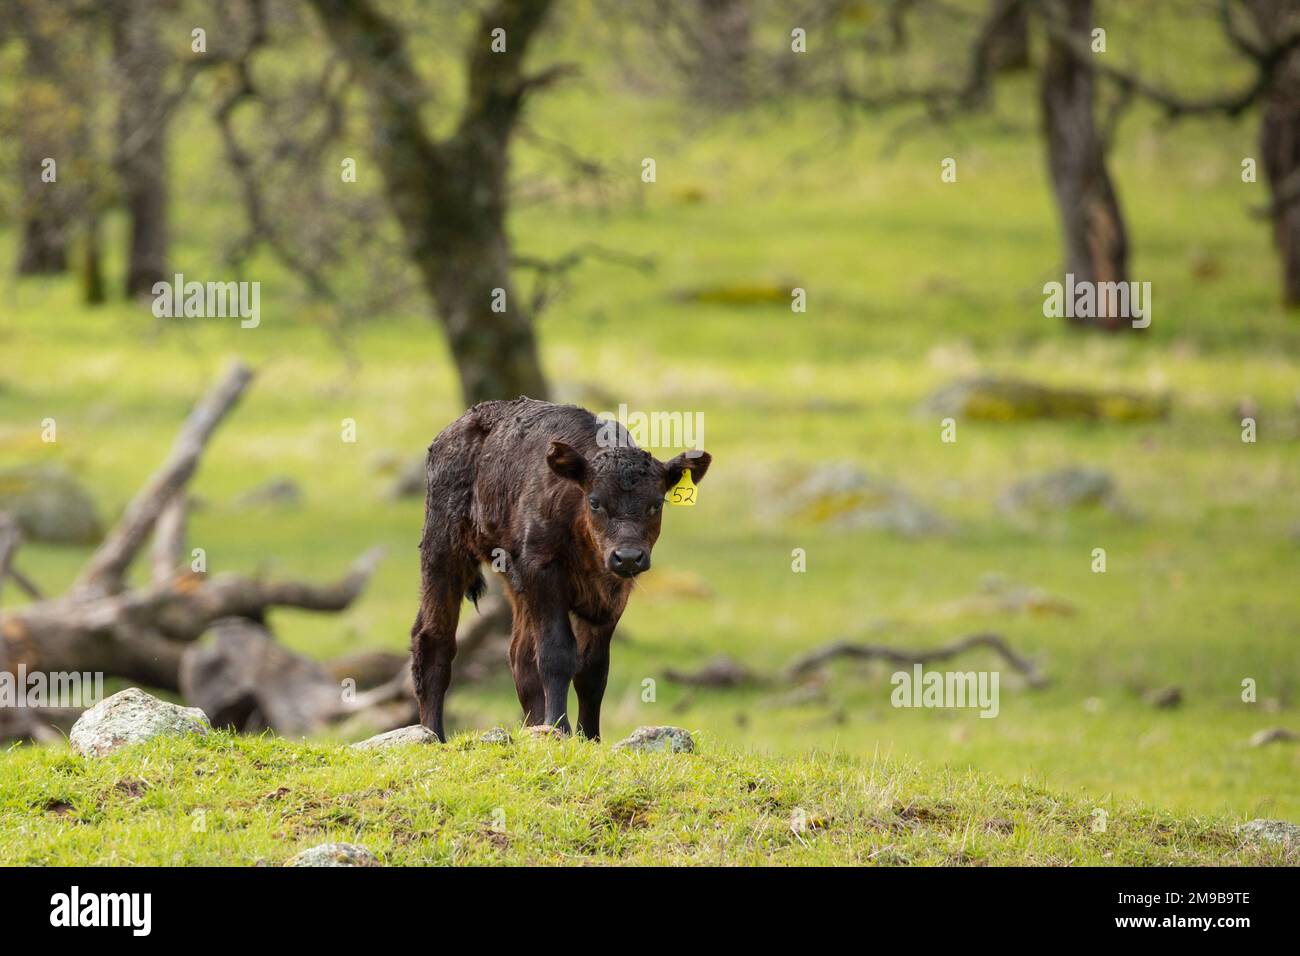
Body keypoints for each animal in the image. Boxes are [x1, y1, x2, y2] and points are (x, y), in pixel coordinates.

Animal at [410, 397, 711, 741]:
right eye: (595, 501)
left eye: (657, 503)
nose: (628, 557)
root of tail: (451, 432)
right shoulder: (543, 573)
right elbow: (557, 653)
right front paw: (560, 727)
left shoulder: (610, 596)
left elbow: (593, 669)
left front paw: (590, 736)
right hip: (443, 551)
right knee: (434, 640)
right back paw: (433, 734)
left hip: (512, 579)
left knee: (520, 656)